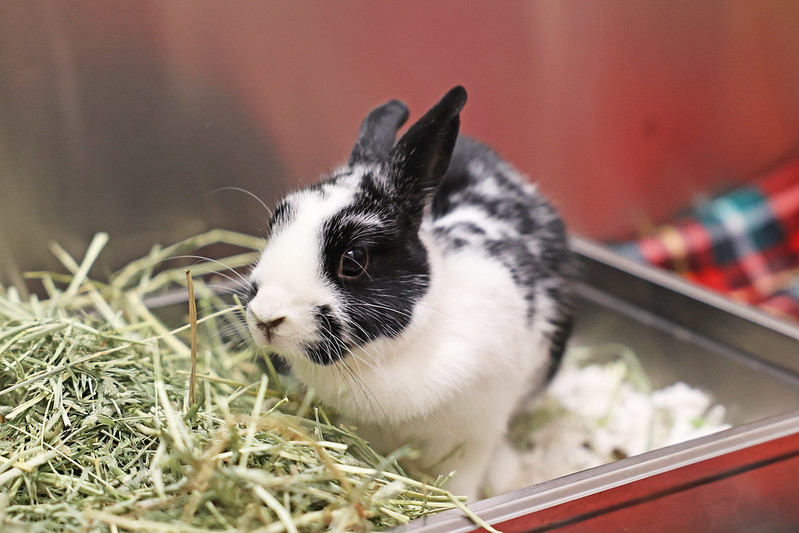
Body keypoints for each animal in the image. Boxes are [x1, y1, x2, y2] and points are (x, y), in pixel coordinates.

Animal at [244, 86, 573, 500]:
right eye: (276, 223)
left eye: (354, 259)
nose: (266, 316)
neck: (387, 357)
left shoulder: (473, 437)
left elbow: (464, 478)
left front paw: (462, 500)